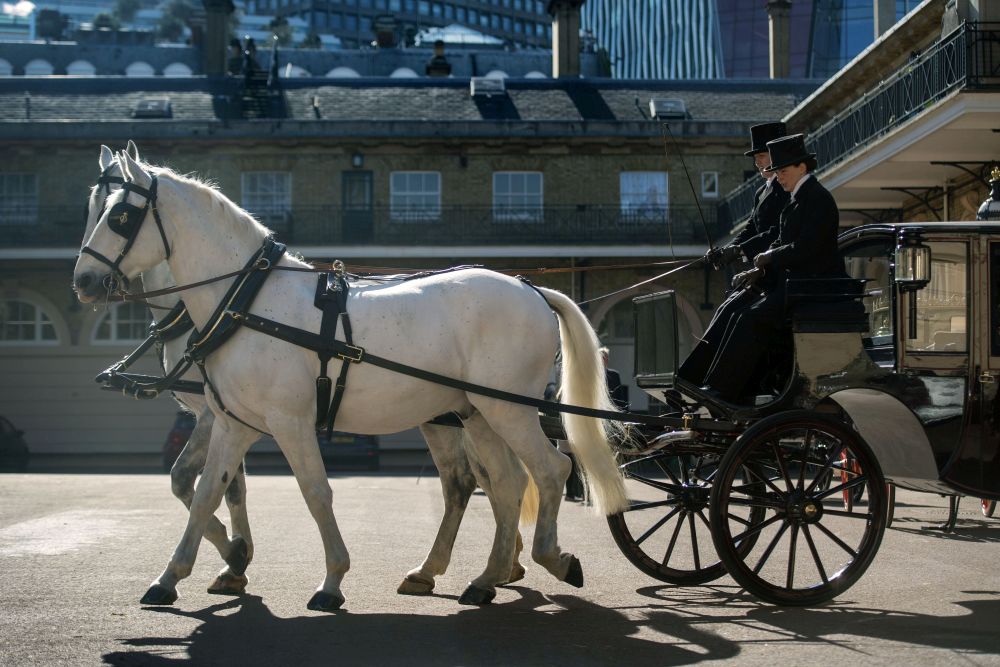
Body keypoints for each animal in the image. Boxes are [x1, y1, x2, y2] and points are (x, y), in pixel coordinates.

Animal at [76, 150, 624, 612]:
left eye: (120, 216)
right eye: (92, 208)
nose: (83, 282)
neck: (248, 301)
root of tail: (531, 288)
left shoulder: (287, 422)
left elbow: (315, 493)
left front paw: (331, 579)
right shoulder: (233, 423)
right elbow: (209, 491)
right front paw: (180, 573)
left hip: (509, 408)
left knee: (550, 471)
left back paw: (550, 557)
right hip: (477, 412)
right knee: (503, 485)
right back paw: (484, 577)